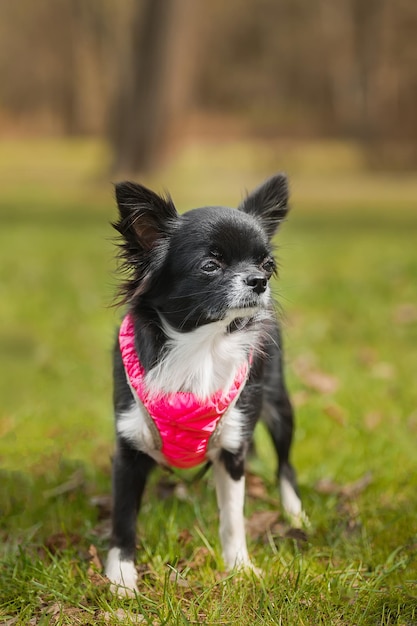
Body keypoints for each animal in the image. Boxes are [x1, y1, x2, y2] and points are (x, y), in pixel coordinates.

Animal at [105, 173, 304, 592]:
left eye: (267, 264)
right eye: (210, 265)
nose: (260, 281)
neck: (202, 347)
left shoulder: (233, 450)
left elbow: (232, 519)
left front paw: (240, 568)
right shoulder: (129, 448)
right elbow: (123, 518)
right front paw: (121, 577)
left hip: (280, 407)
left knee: (285, 465)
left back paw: (295, 515)